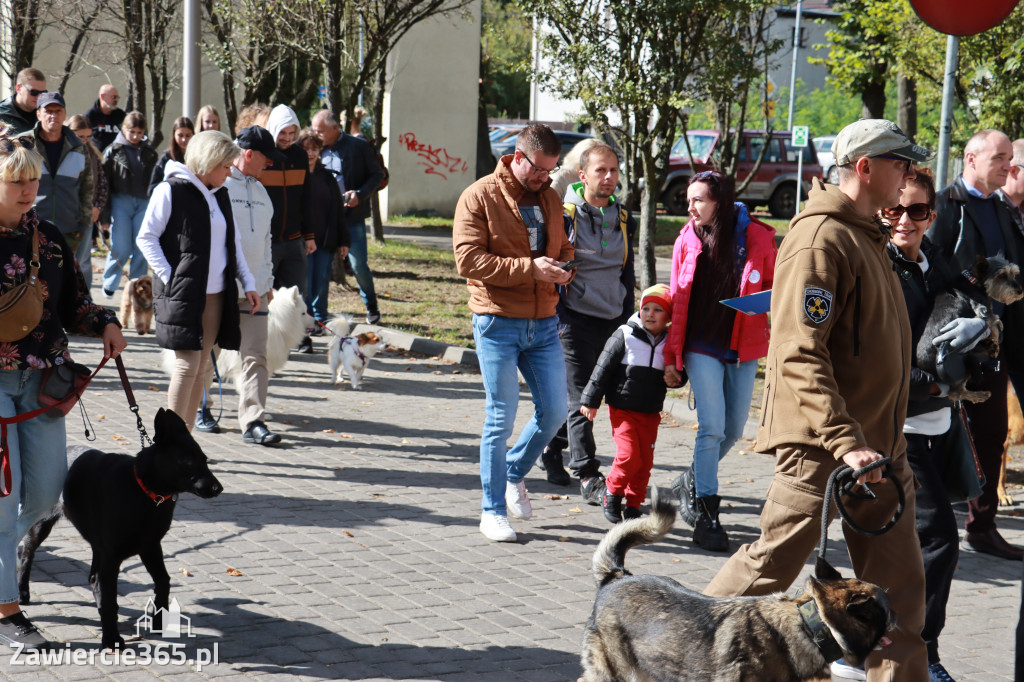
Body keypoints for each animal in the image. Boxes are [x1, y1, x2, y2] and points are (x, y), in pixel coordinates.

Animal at [18, 405, 223, 647]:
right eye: (188, 462)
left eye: (205, 459)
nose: (218, 489)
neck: (145, 492)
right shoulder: (113, 556)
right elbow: (111, 599)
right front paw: (111, 638)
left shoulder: (150, 546)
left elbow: (163, 580)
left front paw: (158, 620)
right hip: (40, 526)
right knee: (26, 556)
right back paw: (22, 593)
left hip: (98, 545)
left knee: (94, 578)